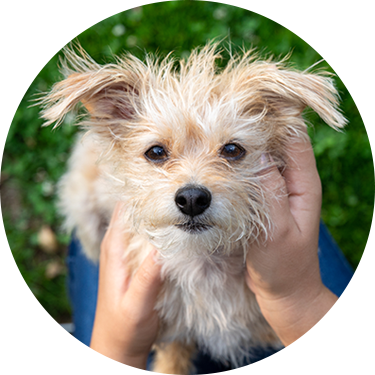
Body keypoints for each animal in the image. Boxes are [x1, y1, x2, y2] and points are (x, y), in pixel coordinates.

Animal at [37, 39, 346, 374]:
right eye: (156, 152)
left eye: (233, 149)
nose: (192, 198)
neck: (204, 262)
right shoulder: (170, 329)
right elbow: (173, 354)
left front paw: (273, 335)